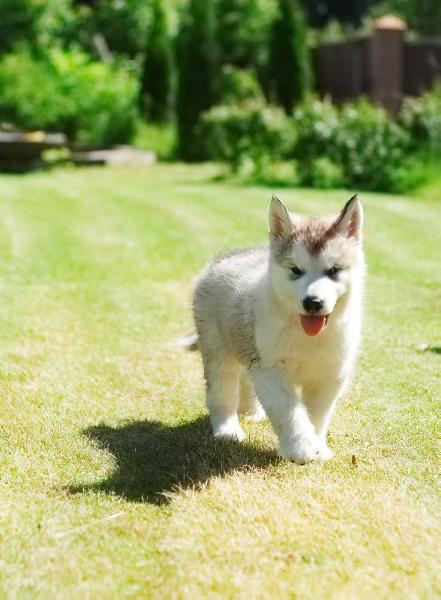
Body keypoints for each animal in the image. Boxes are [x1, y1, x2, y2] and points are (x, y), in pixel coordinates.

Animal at [180, 197, 362, 464]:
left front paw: (318, 446)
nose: (313, 303)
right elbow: (290, 412)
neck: (305, 334)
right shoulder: (271, 369)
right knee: (222, 391)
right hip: (218, 349)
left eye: (333, 271)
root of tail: (221, 260)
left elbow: (317, 415)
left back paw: (250, 412)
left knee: (246, 379)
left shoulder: (330, 374)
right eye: (296, 270)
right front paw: (301, 449)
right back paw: (227, 430)